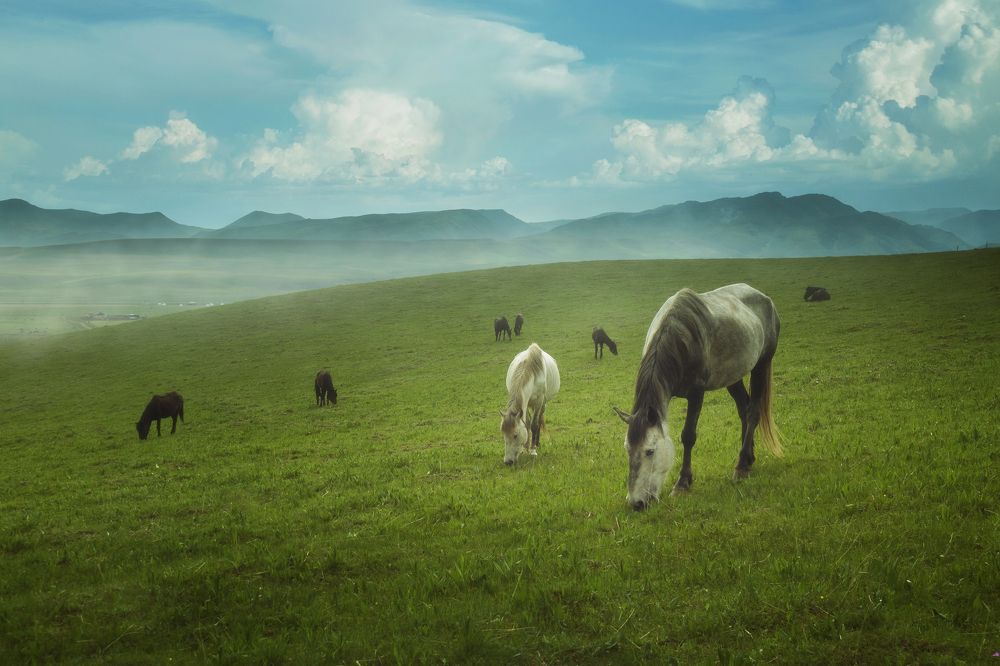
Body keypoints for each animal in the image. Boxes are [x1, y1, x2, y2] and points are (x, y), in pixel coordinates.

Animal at [614, 283, 782, 510]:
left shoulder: (696, 393)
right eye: (627, 449)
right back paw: (748, 458)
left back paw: (741, 466)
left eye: (650, 451)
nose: (636, 503)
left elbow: (688, 436)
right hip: (732, 376)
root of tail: (765, 299)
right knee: (744, 408)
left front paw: (682, 484)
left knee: (753, 412)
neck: (680, 338)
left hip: (761, 365)